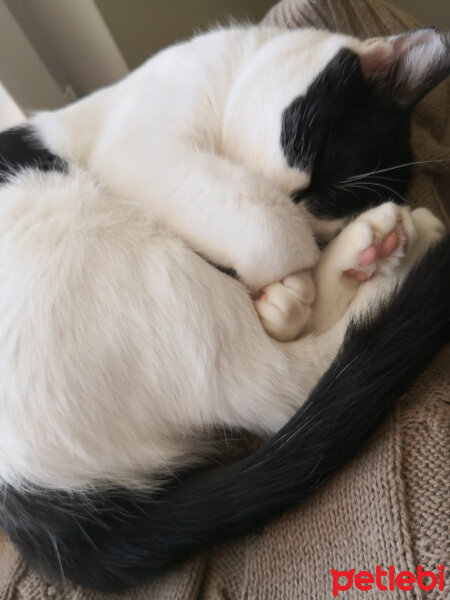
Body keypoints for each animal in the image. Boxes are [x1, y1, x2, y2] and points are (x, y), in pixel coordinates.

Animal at [0, 23, 448, 592]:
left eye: (324, 214)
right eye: (310, 180)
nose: (317, 231)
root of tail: (31, 500)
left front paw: (302, 279)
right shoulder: (144, 147)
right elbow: (270, 227)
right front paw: (295, 273)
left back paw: (373, 251)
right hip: (112, 250)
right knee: (288, 384)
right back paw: (397, 252)